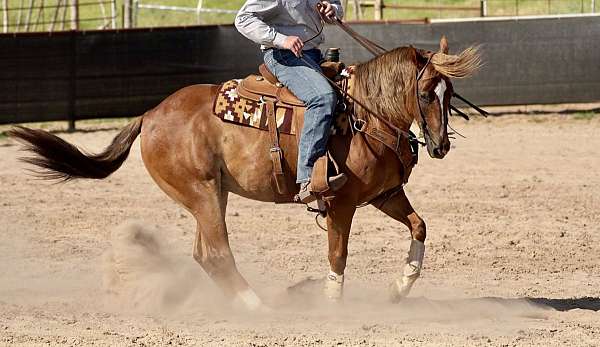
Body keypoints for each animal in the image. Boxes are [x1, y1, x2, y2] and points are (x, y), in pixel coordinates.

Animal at [9, 36, 480, 312]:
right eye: (425, 93)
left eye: (450, 92)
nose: (440, 146)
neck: (367, 114)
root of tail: (149, 114)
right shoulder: (341, 203)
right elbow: (338, 255)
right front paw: (333, 306)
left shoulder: (385, 194)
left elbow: (419, 227)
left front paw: (399, 288)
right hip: (200, 193)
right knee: (218, 253)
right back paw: (259, 307)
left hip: (213, 195)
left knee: (205, 255)